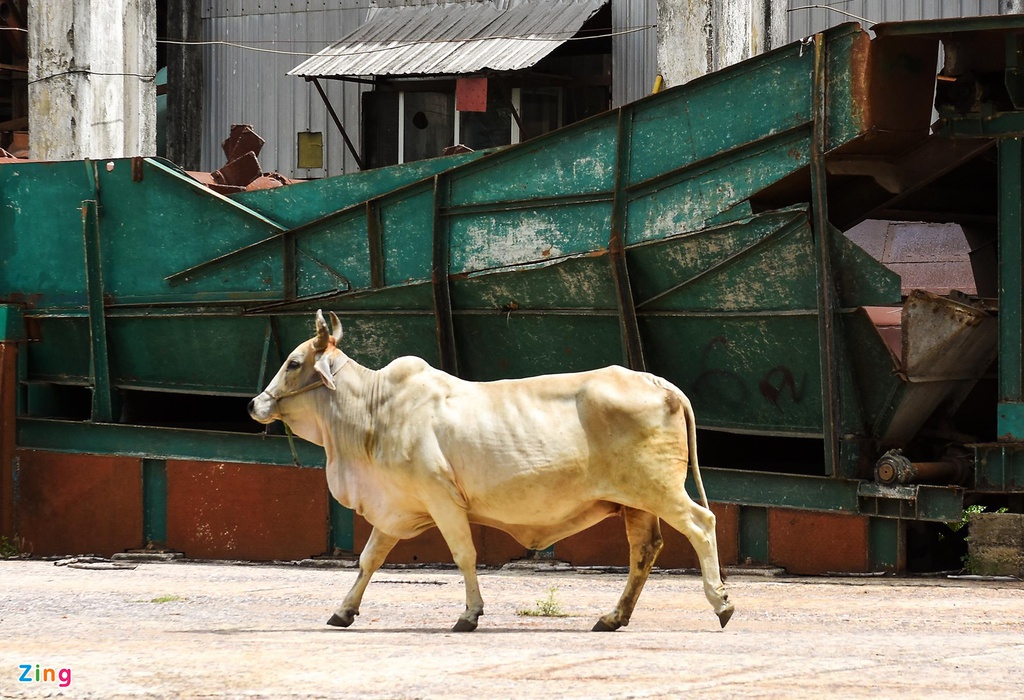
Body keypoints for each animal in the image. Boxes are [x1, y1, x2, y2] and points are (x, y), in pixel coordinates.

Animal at [252, 309, 741, 630]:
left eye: (293, 363)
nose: (255, 404)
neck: (373, 412)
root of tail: (658, 382)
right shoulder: (396, 507)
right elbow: (369, 559)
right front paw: (344, 610)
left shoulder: (442, 500)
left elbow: (464, 555)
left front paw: (469, 614)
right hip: (636, 501)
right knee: (644, 550)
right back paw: (613, 616)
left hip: (660, 489)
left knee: (701, 524)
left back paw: (720, 603)